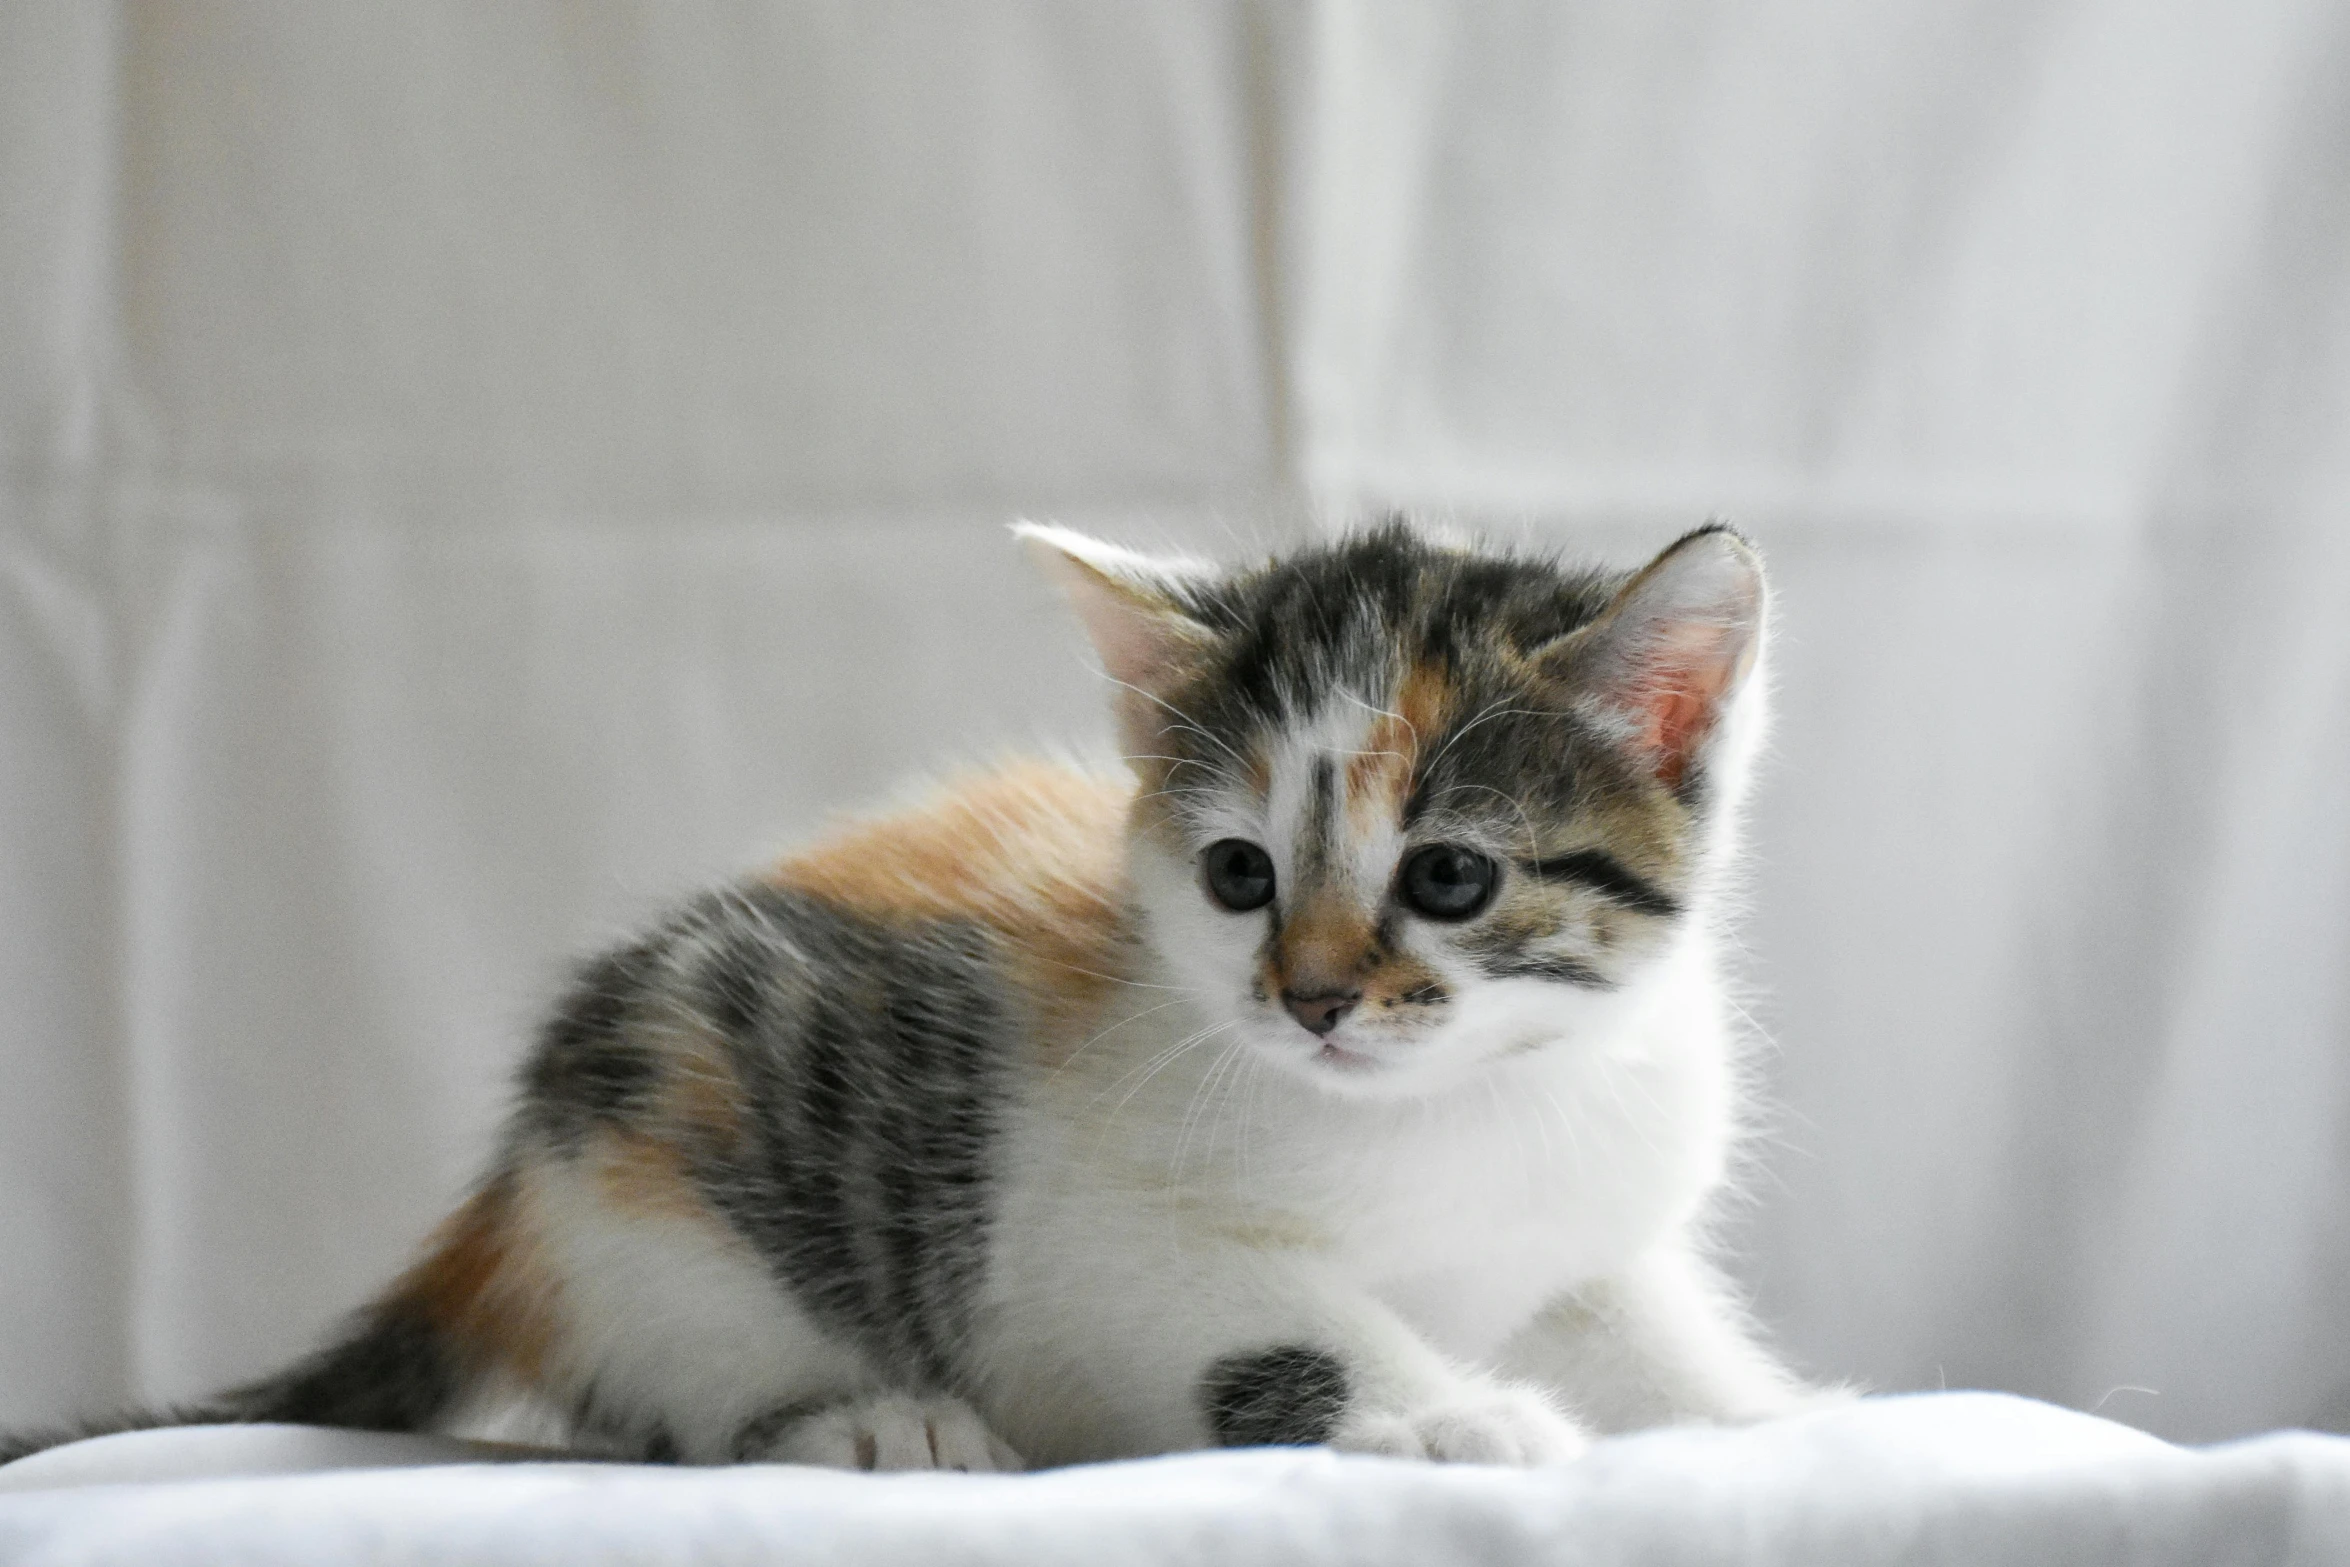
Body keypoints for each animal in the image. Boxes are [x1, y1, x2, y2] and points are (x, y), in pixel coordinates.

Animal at [0, 523, 1814, 1475]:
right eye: (1238, 874)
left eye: (1446, 878)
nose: (1308, 1001)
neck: (1468, 1103)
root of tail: (499, 1209)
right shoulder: (1072, 1236)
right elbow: (1286, 1323)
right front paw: (1459, 1420)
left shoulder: (1593, 1217)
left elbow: (1640, 1316)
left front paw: (1773, 1415)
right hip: (665, 1142)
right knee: (687, 1376)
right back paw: (875, 1417)